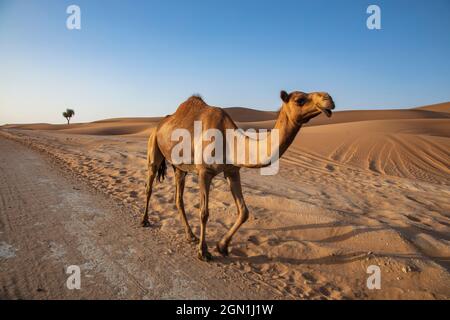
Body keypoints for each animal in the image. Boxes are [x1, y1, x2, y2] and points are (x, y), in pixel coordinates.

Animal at [142, 90, 336, 260]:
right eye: (299, 100)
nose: (329, 98)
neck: (230, 140)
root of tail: (160, 124)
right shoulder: (204, 172)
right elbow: (204, 212)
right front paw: (203, 252)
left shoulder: (232, 171)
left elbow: (244, 212)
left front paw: (222, 246)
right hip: (154, 147)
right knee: (149, 185)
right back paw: (145, 220)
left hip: (179, 167)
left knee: (178, 198)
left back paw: (190, 235)